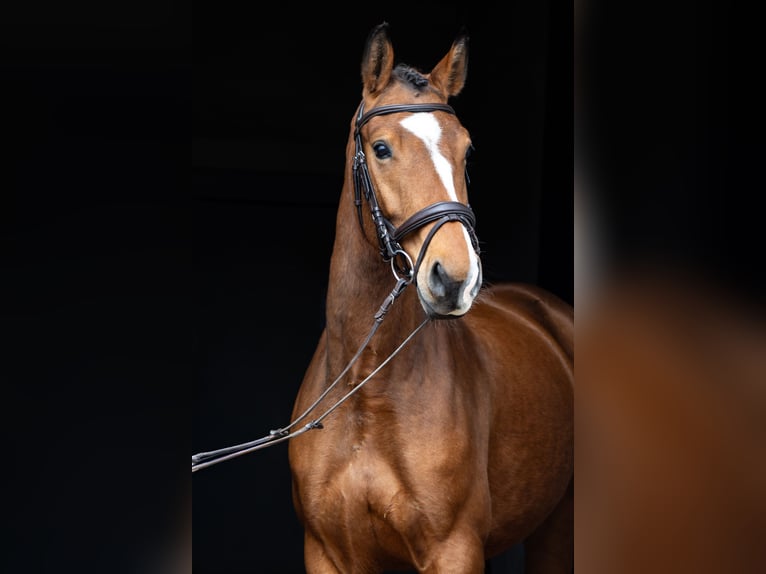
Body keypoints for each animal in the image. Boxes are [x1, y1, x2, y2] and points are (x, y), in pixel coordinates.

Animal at [287, 23, 573, 573]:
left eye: (467, 150)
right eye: (380, 149)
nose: (456, 278)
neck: (367, 393)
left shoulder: (453, 550)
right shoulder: (328, 553)